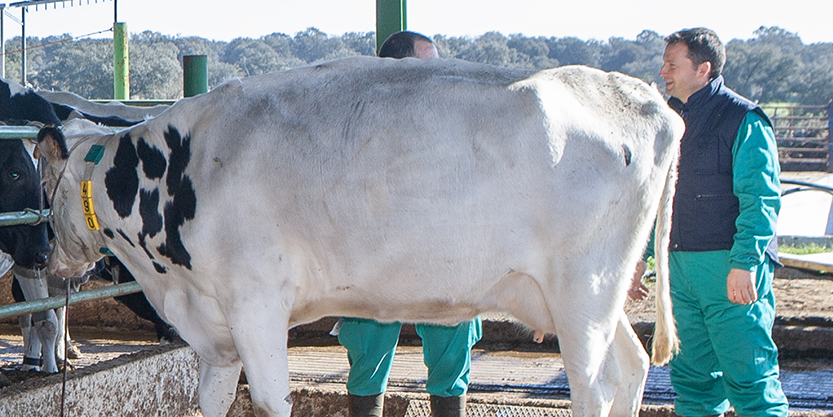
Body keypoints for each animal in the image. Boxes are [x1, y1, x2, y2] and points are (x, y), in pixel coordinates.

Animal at [34, 57, 684, 416]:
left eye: (44, 180)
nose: (46, 255)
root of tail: (642, 98)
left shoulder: (254, 302)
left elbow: (269, 400)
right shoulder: (214, 326)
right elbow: (213, 400)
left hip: (582, 293)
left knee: (594, 389)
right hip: (596, 294)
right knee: (630, 371)